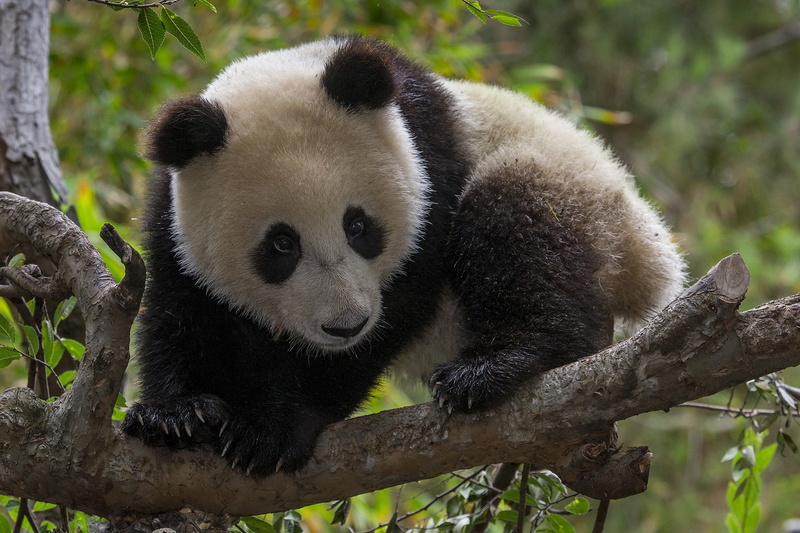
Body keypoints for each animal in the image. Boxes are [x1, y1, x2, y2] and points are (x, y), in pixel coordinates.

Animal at [122, 36, 686, 477]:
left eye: (358, 226)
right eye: (281, 244)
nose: (346, 325)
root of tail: (644, 241)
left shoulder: (428, 167)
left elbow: (403, 301)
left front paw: (269, 429)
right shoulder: (175, 215)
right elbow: (181, 309)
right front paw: (175, 415)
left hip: (564, 189)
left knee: (518, 233)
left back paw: (491, 369)